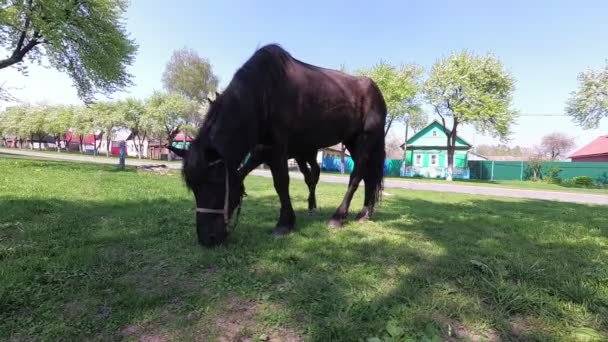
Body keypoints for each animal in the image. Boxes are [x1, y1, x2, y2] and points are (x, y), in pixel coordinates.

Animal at [170, 44, 384, 247]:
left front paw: (284, 223)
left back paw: (339, 217)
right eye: (193, 187)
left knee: (356, 175)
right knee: (367, 175)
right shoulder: (265, 150)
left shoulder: (278, 146)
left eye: (215, 183)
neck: (263, 93)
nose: (208, 239)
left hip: (365, 138)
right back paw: (365, 213)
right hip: (351, 141)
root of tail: (376, 92)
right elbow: (260, 177)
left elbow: (281, 182)